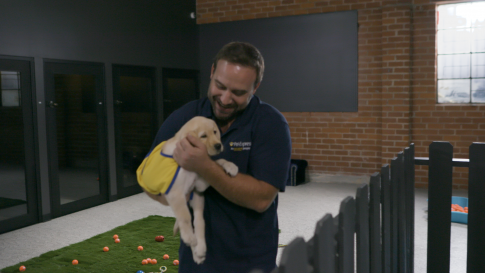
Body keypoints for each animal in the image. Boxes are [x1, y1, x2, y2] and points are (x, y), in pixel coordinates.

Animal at [135, 115, 237, 264]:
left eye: (215, 132)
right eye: (203, 136)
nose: (218, 145)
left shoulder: (199, 182)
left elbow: (216, 162)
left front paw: (230, 166)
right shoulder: (175, 193)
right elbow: (185, 216)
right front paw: (188, 237)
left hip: (197, 198)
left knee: (199, 222)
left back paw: (200, 250)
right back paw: (194, 245)